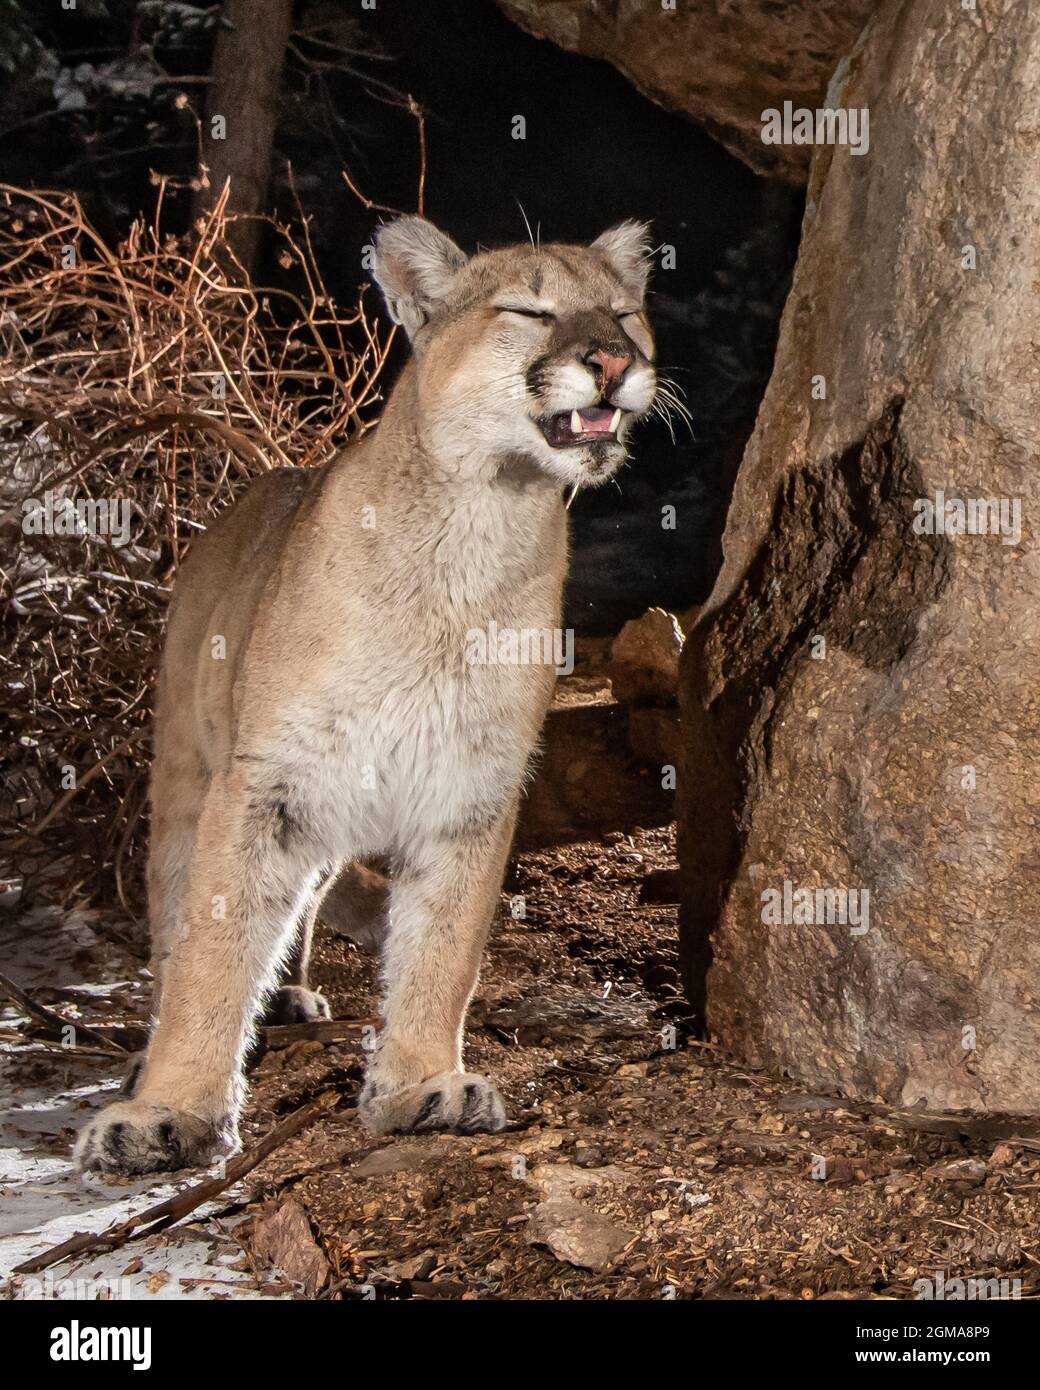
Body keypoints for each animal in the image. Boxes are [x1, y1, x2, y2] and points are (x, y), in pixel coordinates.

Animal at [74, 216, 657, 1173]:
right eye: (529, 310)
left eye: (623, 313)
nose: (612, 360)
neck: (478, 528)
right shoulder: (265, 782)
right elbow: (212, 945)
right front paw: (172, 1107)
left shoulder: (469, 788)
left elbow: (445, 948)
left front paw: (419, 1084)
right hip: (189, 774)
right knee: (175, 908)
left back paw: (286, 997)